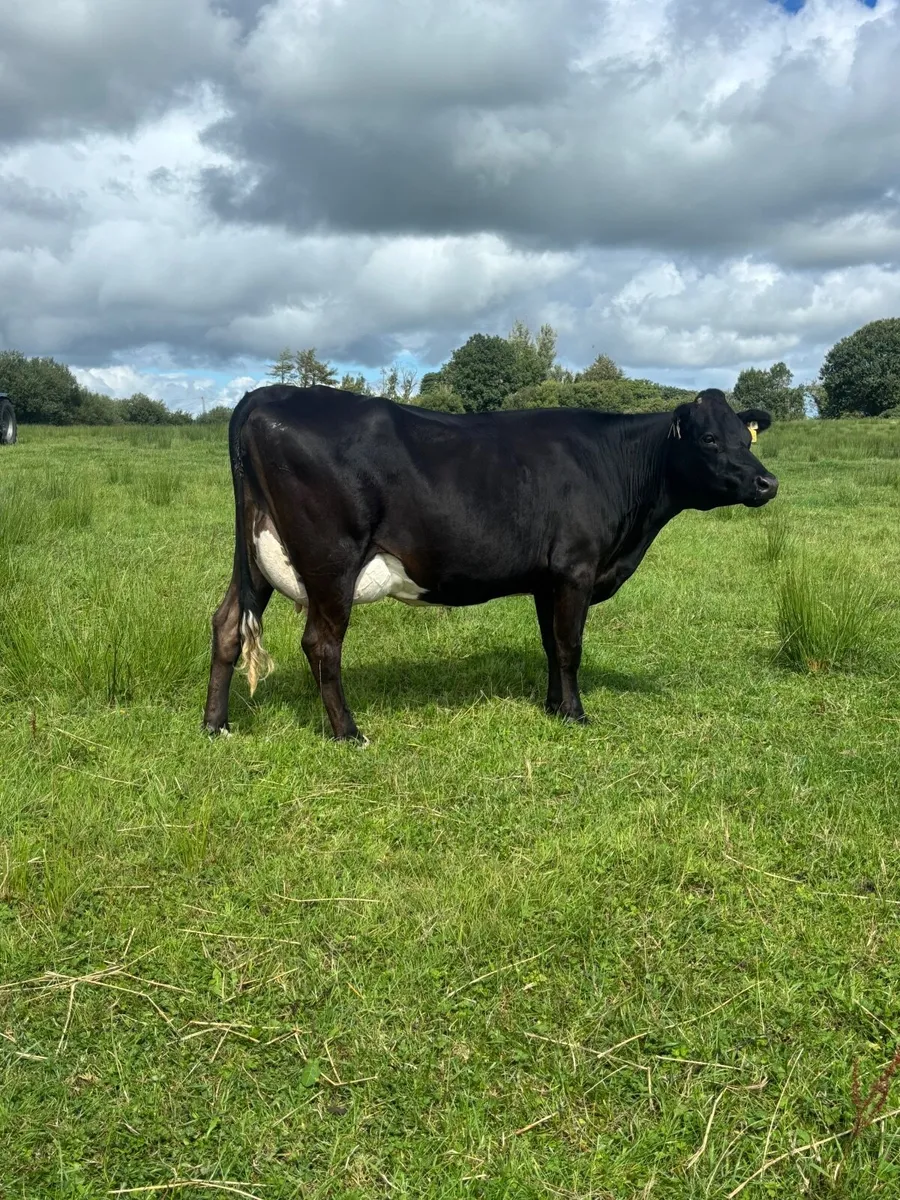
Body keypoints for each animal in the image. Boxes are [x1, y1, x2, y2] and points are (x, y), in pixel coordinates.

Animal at [203, 385, 777, 742]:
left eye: (745, 437)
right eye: (709, 439)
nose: (767, 482)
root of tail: (265, 394)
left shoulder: (549, 579)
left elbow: (551, 645)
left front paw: (553, 706)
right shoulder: (576, 569)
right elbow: (570, 647)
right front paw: (576, 714)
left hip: (257, 555)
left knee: (227, 623)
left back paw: (216, 725)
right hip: (331, 559)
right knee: (321, 644)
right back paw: (350, 733)